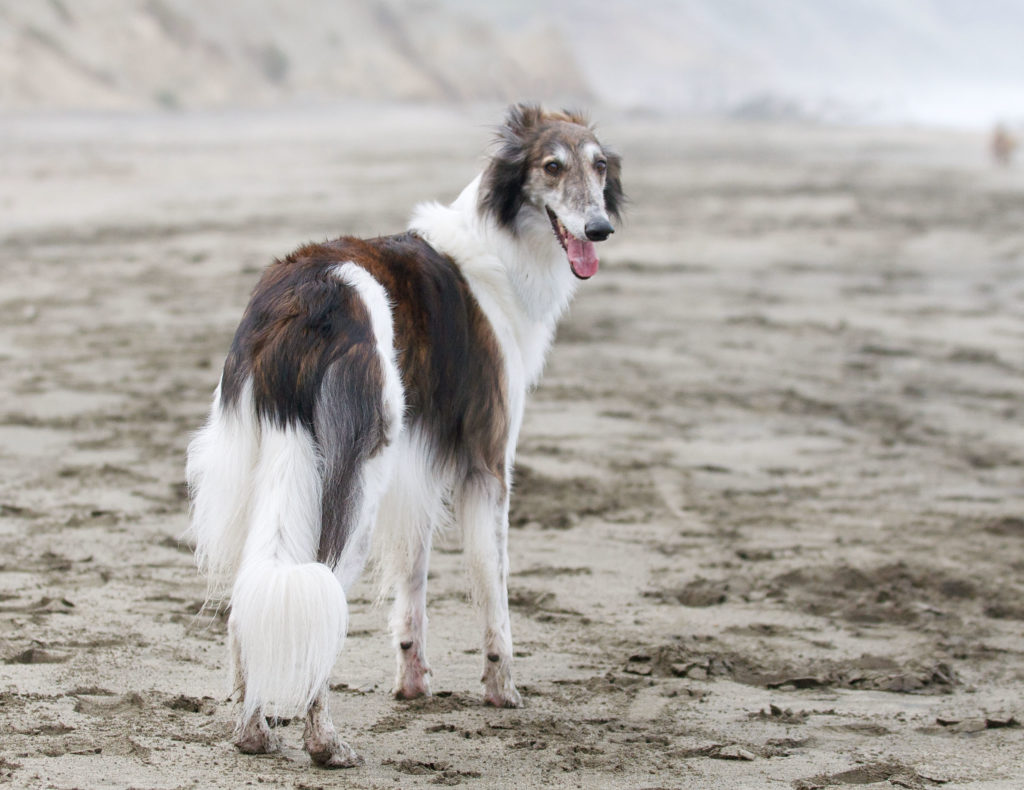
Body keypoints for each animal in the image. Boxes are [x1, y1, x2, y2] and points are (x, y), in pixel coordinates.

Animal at [186, 103, 622, 766]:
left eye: (599, 167)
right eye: (552, 166)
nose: (599, 229)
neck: (500, 247)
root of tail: (303, 299)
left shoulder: (416, 470)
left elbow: (413, 582)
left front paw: (413, 682)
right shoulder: (488, 464)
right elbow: (493, 590)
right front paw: (502, 689)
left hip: (259, 465)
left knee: (249, 599)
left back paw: (253, 729)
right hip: (353, 482)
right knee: (322, 593)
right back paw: (325, 742)